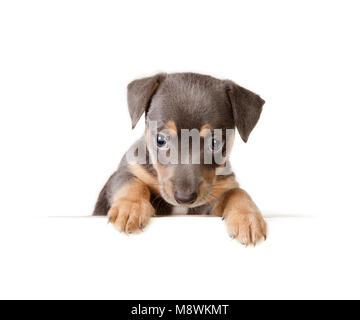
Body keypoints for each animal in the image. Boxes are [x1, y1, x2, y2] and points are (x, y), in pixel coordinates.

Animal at [93, 72, 268, 246]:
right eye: (160, 140)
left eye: (215, 143)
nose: (185, 198)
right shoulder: (126, 171)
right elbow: (131, 181)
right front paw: (130, 208)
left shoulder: (209, 205)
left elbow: (236, 192)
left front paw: (247, 218)